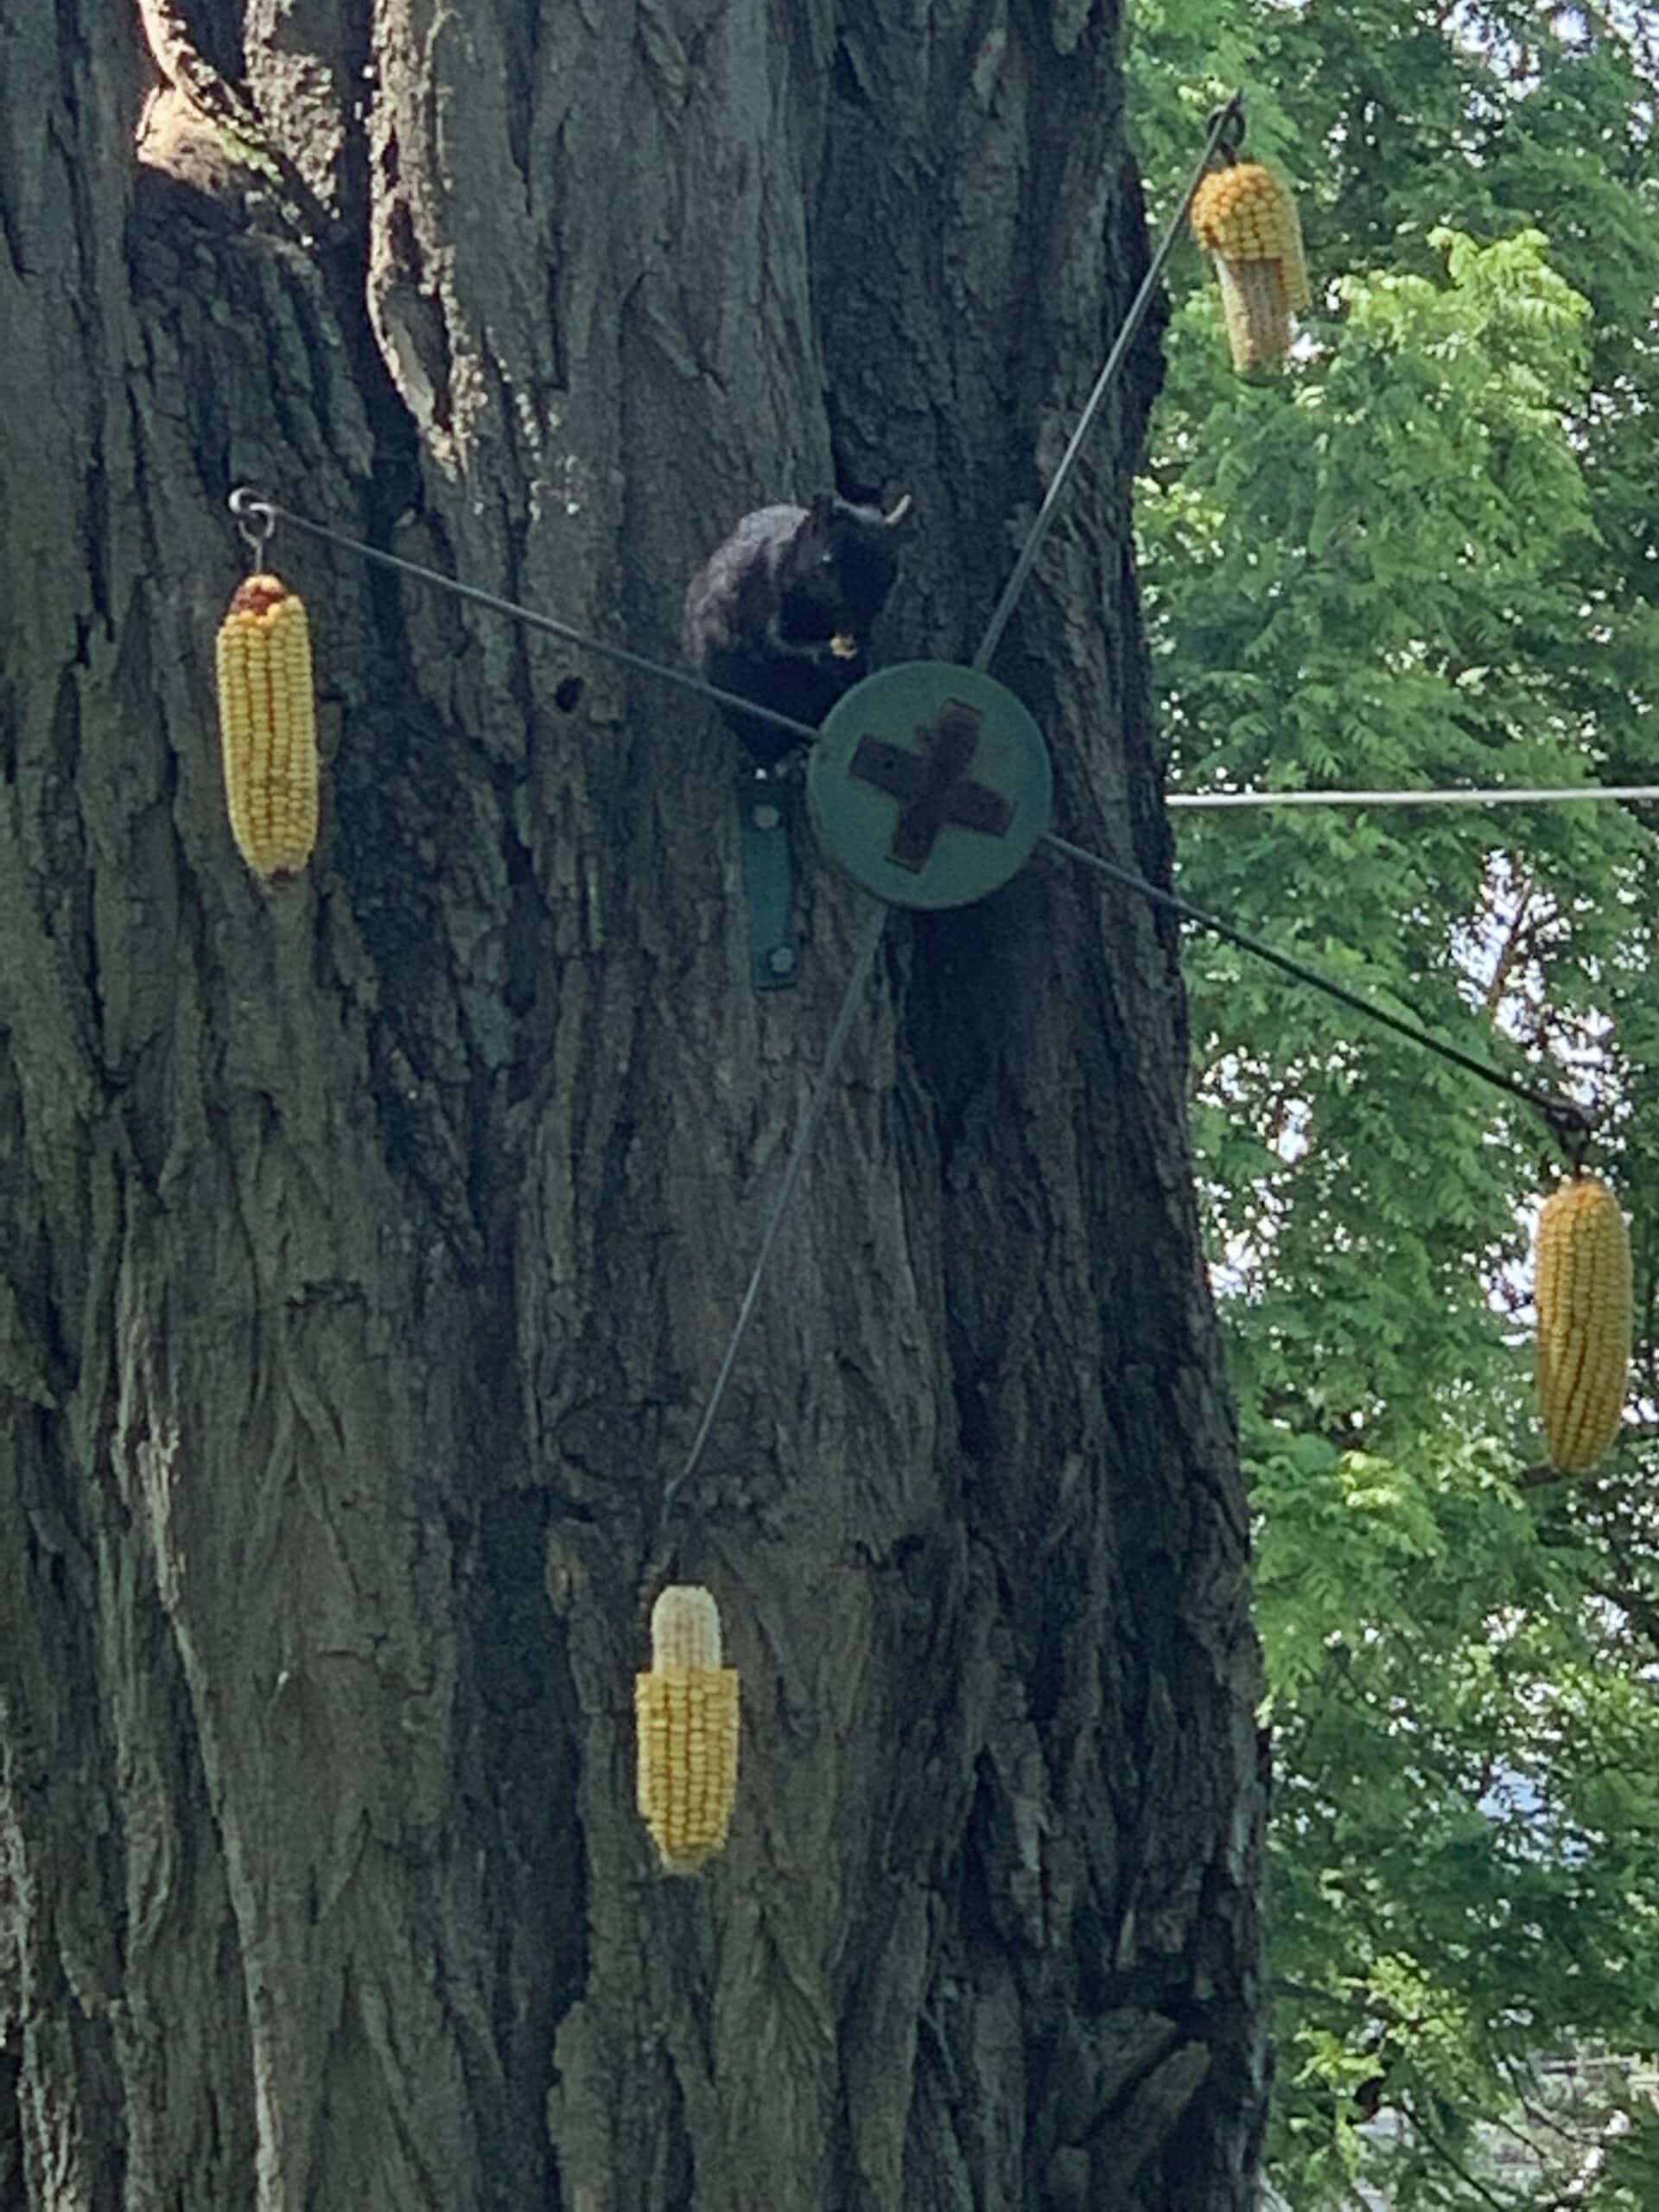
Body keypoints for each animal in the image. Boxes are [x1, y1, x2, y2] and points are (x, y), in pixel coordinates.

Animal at [682, 492, 913, 769]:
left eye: (893, 563)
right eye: (827, 558)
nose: (859, 609)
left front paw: (859, 651)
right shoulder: (764, 593)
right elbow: (775, 643)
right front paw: (823, 654)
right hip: (735, 689)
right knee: (761, 736)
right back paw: (782, 760)